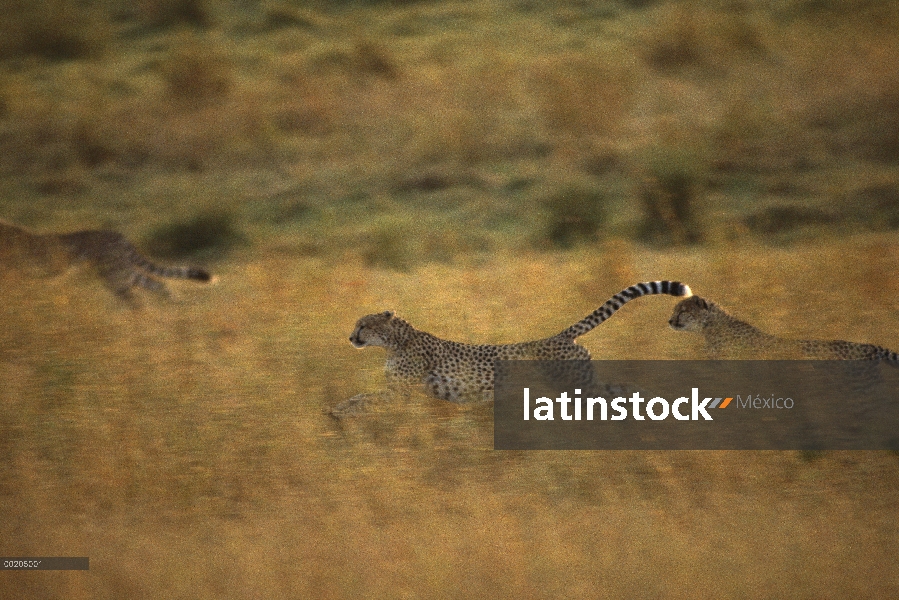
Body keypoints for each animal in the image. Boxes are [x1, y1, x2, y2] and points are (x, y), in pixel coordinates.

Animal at [348, 280, 692, 404]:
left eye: (363, 325)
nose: (351, 337)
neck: (395, 342)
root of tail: (557, 335)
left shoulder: (403, 392)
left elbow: (364, 399)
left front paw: (341, 411)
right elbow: (365, 397)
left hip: (575, 384)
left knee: (614, 391)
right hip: (579, 383)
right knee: (620, 388)